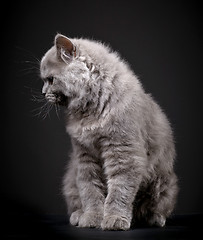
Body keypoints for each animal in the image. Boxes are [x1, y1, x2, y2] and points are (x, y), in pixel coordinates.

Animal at [39, 32, 178, 230]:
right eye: (45, 80)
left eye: (50, 79)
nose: (43, 92)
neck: (91, 112)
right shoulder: (84, 156)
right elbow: (89, 190)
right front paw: (92, 218)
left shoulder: (123, 152)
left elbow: (119, 190)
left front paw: (114, 219)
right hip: (70, 179)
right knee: (76, 199)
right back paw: (78, 215)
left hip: (163, 183)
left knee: (152, 207)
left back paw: (154, 219)